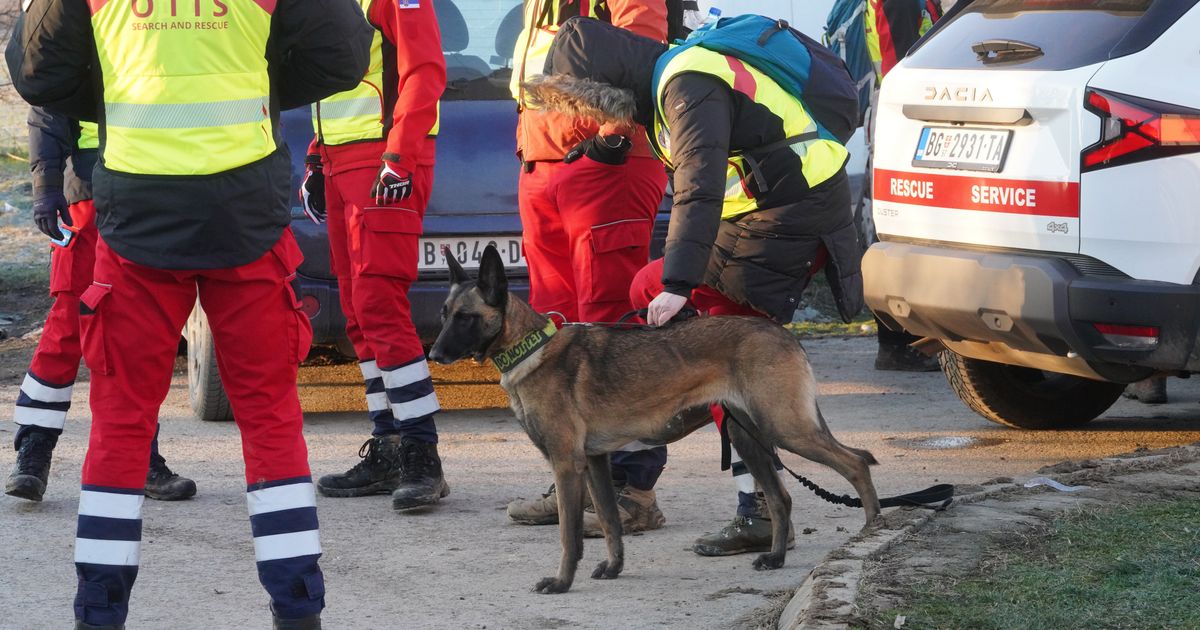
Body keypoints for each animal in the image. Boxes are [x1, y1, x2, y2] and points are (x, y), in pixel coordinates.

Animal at [432, 247, 883, 595]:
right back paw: (774, 557)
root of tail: (783, 333)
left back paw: (872, 531)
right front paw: (613, 568)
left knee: (855, 464)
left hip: (786, 429)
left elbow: (568, 535)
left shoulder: (566, 465)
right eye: (443, 314)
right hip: (747, 437)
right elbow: (610, 523)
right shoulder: (594, 463)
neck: (530, 347)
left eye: (465, 317)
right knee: (781, 497)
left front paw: (561, 582)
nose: (434, 355)